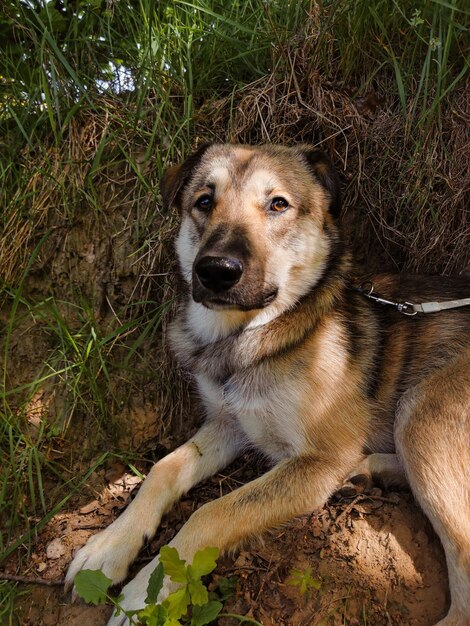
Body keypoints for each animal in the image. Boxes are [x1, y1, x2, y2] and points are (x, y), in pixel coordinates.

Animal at [66, 144, 470, 620]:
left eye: (278, 204)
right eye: (204, 201)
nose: (216, 270)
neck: (252, 337)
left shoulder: (318, 461)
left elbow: (211, 512)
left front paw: (145, 598)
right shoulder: (230, 423)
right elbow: (162, 470)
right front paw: (107, 547)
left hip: (423, 408)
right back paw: (370, 472)